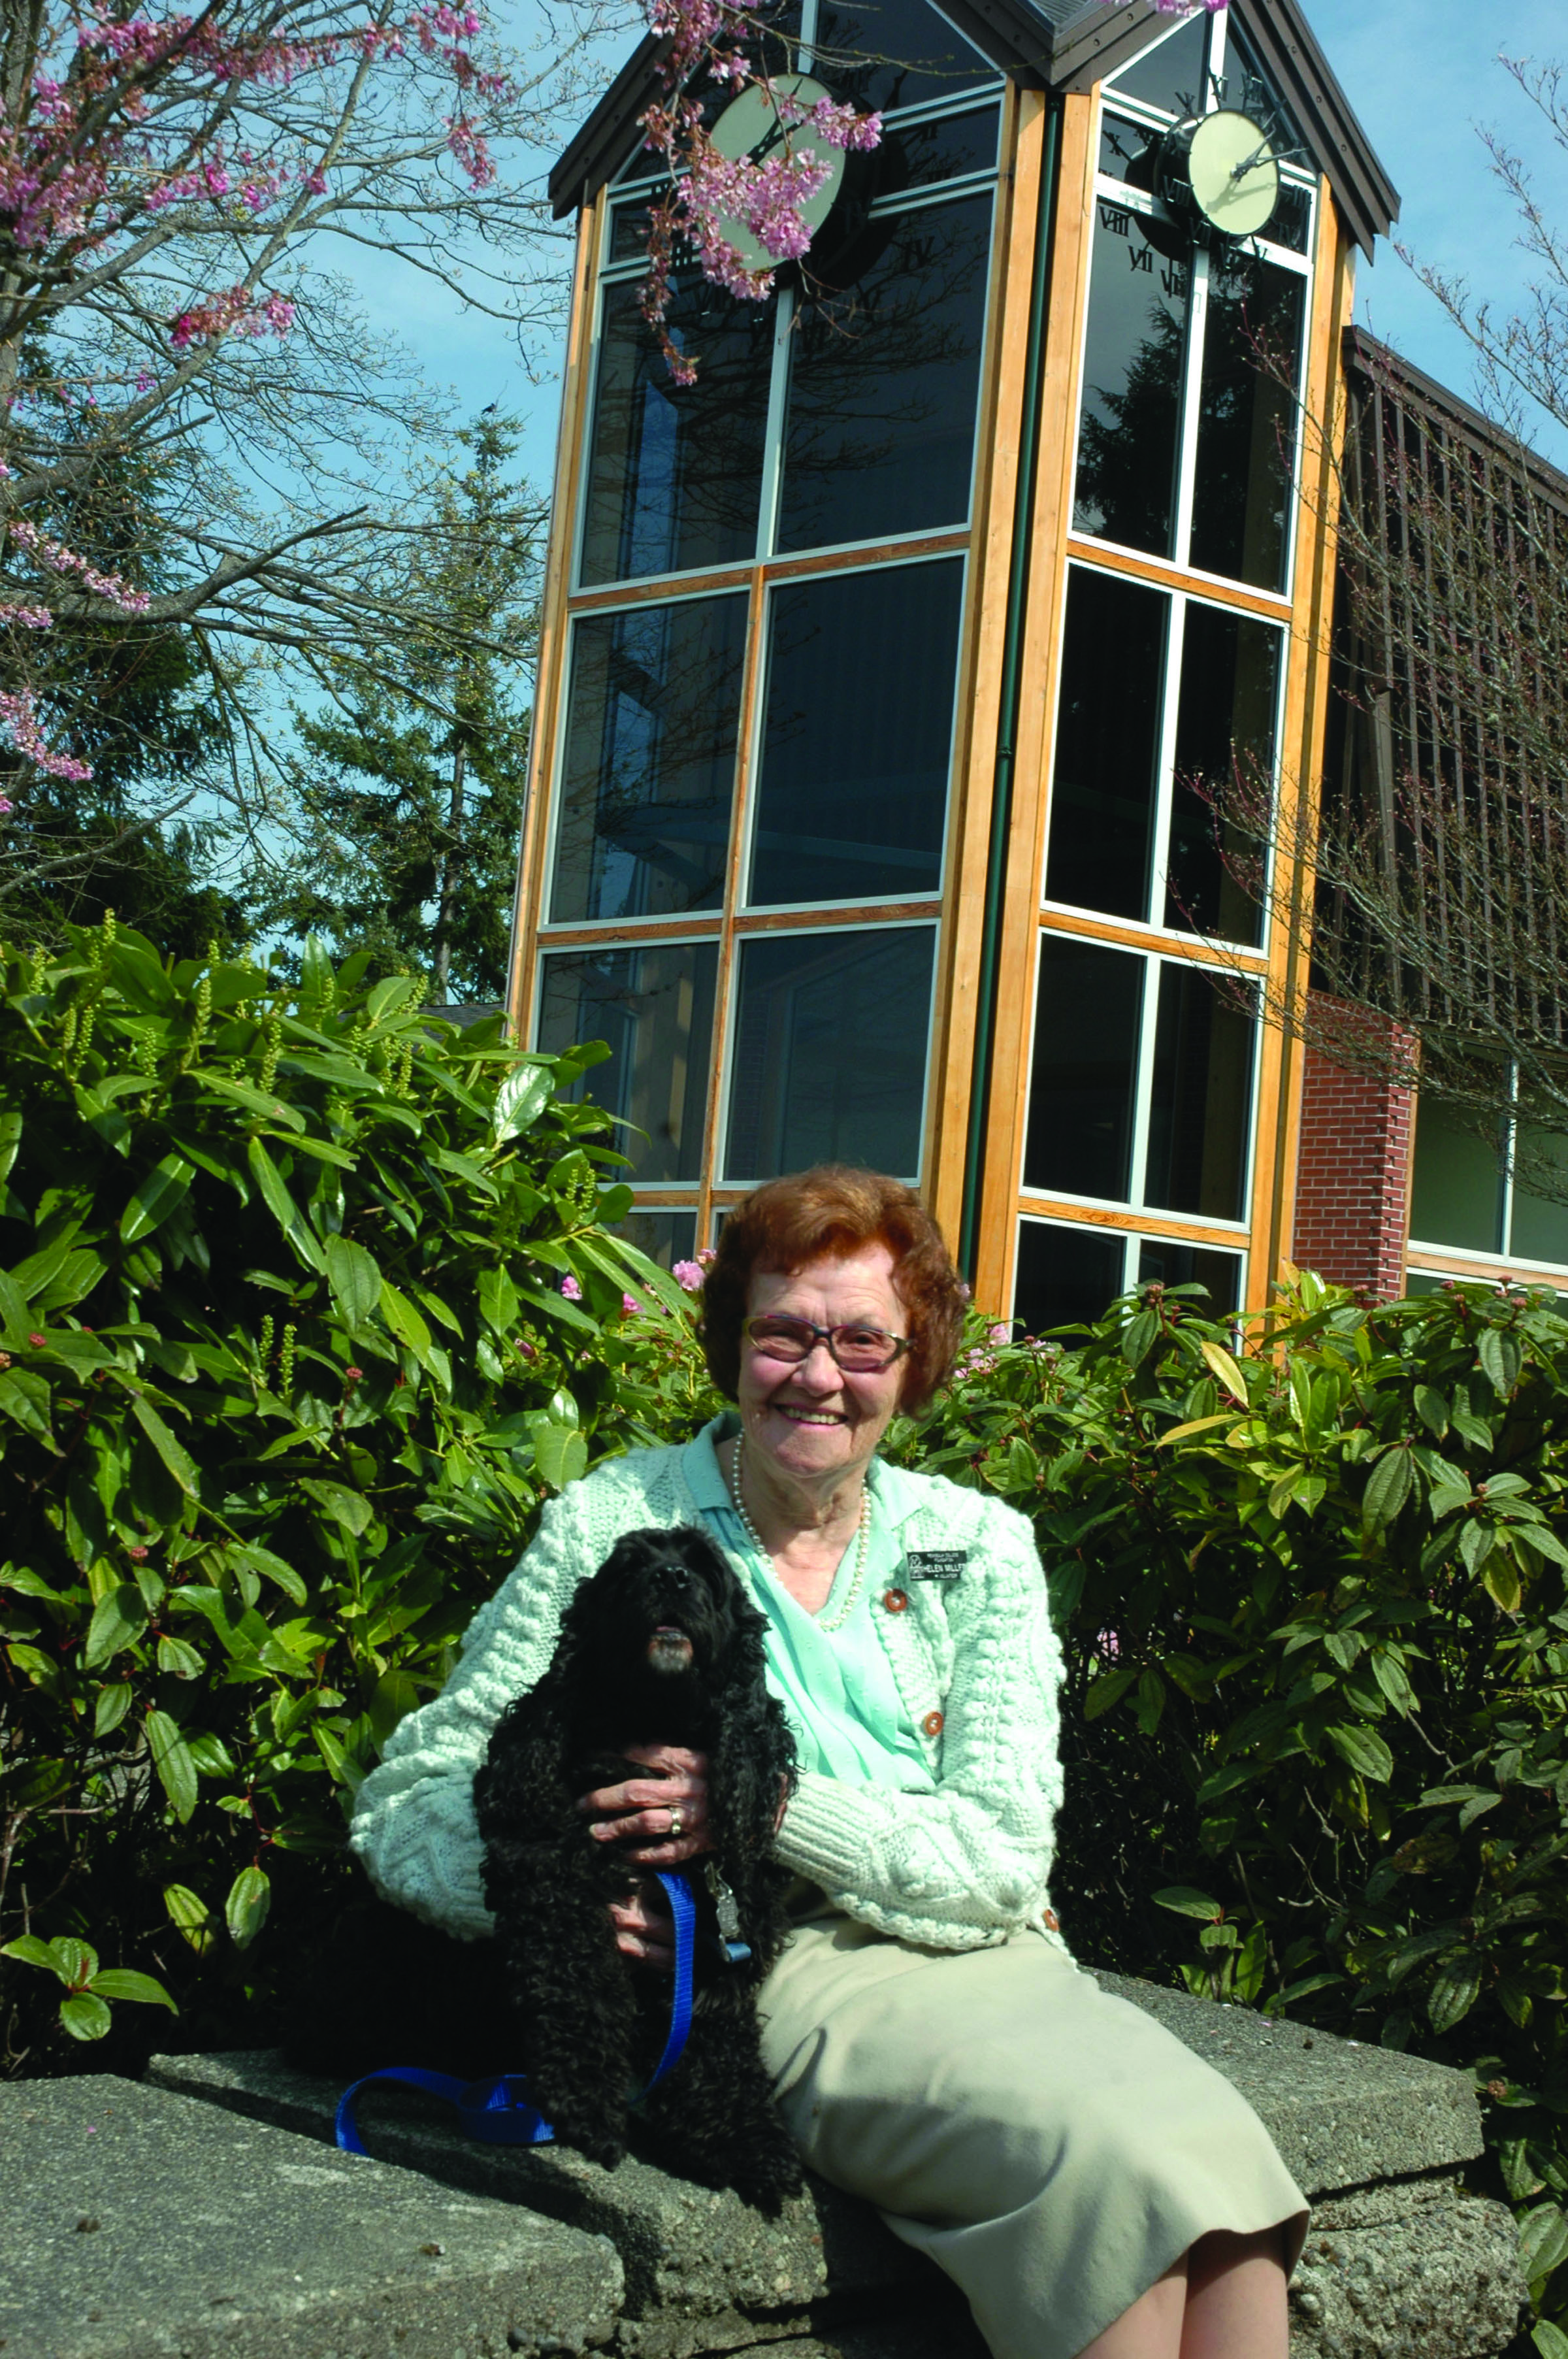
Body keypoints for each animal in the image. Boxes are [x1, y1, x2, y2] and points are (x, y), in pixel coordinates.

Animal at [471, 1528, 802, 2207]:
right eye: (627, 1569)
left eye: (707, 1571)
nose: (671, 1578)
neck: (657, 1719)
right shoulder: (547, 1867)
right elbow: (577, 1975)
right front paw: (587, 2104)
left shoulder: (720, 1932)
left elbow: (717, 2041)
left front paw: (747, 2141)